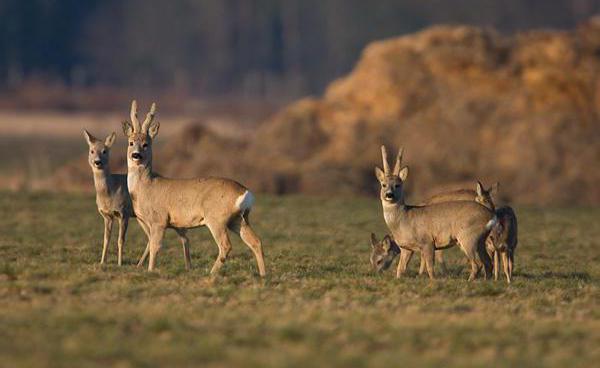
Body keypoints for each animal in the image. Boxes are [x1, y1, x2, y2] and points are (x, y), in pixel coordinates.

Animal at [82, 129, 132, 264]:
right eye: (92, 151)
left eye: (105, 151)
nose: (97, 162)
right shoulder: (107, 215)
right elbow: (106, 240)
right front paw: (102, 262)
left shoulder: (123, 212)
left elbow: (120, 240)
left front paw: (120, 263)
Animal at [122, 100, 264, 276]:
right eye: (131, 142)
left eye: (146, 144)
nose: (136, 155)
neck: (146, 187)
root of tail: (246, 193)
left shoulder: (159, 220)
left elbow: (155, 247)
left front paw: (150, 271)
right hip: (238, 219)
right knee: (256, 241)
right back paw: (263, 275)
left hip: (216, 219)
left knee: (226, 245)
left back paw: (211, 274)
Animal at [376, 145, 496, 280]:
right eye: (383, 184)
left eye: (397, 185)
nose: (389, 195)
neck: (404, 220)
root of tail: (491, 215)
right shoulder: (406, 248)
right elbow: (400, 269)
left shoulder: (427, 241)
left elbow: (430, 268)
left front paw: (432, 281)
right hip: (480, 240)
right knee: (487, 262)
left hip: (468, 237)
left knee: (478, 264)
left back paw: (470, 281)